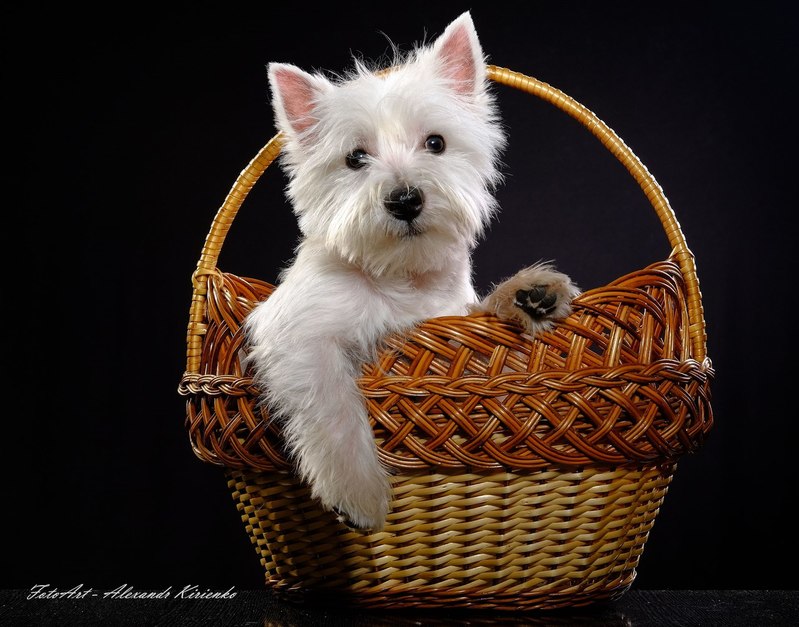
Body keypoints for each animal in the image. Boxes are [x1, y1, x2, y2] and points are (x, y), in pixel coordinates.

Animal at [241, 11, 580, 528]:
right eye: (355, 157)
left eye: (435, 143)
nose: (405, 200)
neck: (400, 276)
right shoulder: (297, 336)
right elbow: (333, 403)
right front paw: (358, 492)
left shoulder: (447, 315)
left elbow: (476, 309)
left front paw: (528, 294)